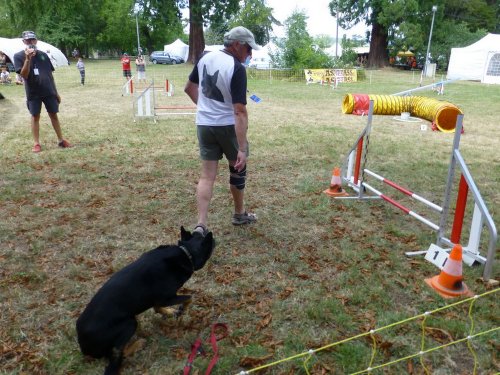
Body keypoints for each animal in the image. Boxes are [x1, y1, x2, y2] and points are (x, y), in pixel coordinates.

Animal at [76, 228, 215, 374]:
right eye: (209, 240)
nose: (206, 230)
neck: (186, 252)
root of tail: (83, 347)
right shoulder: (166, 297)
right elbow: (189, 297)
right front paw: (181, 310)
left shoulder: (159, 300)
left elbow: (157, 307)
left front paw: (169, 312)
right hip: (130, 323)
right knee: (117, 353)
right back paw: (138, 344)